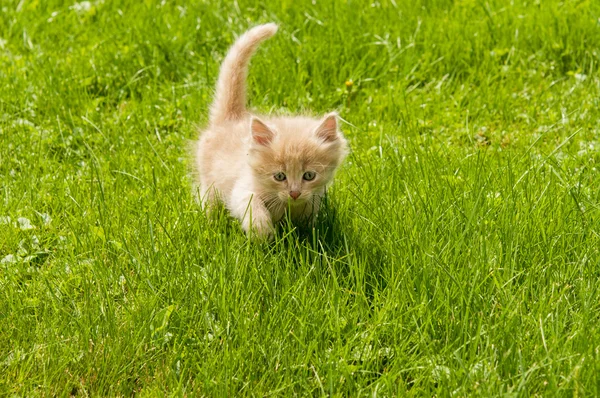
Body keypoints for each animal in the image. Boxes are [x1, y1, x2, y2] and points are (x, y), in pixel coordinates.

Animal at [195, 23, 350, 239]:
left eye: (309, 176)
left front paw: (308, 237)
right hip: (209, 182)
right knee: (208, 201)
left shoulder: (312, 200)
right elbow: (252, 207)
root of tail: (232, 117)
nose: (294, 193)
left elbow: (307, 224)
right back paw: (210, 225)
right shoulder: (242, 190)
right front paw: (263, 233)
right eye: (279, 176)